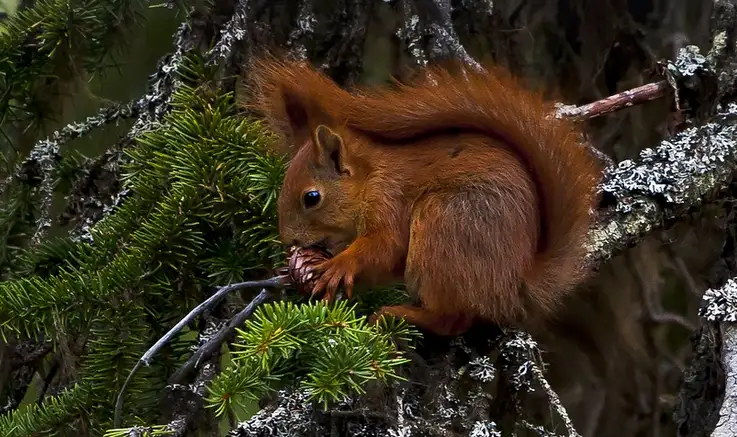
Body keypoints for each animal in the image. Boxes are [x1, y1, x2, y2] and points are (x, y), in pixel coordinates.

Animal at [246, 56, 602, 336]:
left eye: (312, 197)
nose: (289, 242)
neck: (371, 176)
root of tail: (514, 284)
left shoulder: (389, 199)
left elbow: (385, 245)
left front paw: (338, 264)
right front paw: (292, 270)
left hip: (443, 225)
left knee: (452, 319)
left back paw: (399, 314)